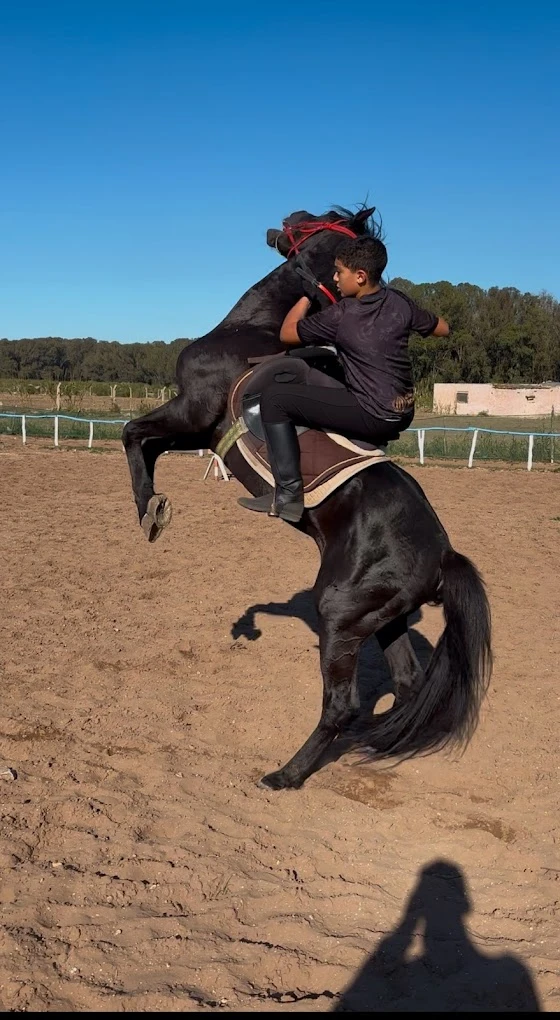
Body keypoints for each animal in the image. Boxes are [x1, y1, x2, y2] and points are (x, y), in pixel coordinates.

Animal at [124, 205, 491, 787]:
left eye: (313, 219)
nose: (278, 225)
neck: (254, 329)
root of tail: (443, 554)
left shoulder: (193, 412)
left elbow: (132, 434)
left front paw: (151, 511)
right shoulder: (197, 429)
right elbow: (146, 444)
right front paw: (155, 508)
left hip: (339, 614)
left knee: (341, 705)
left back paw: (286, 774)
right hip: (381, 619)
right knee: (406, 685)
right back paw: (379, 742)